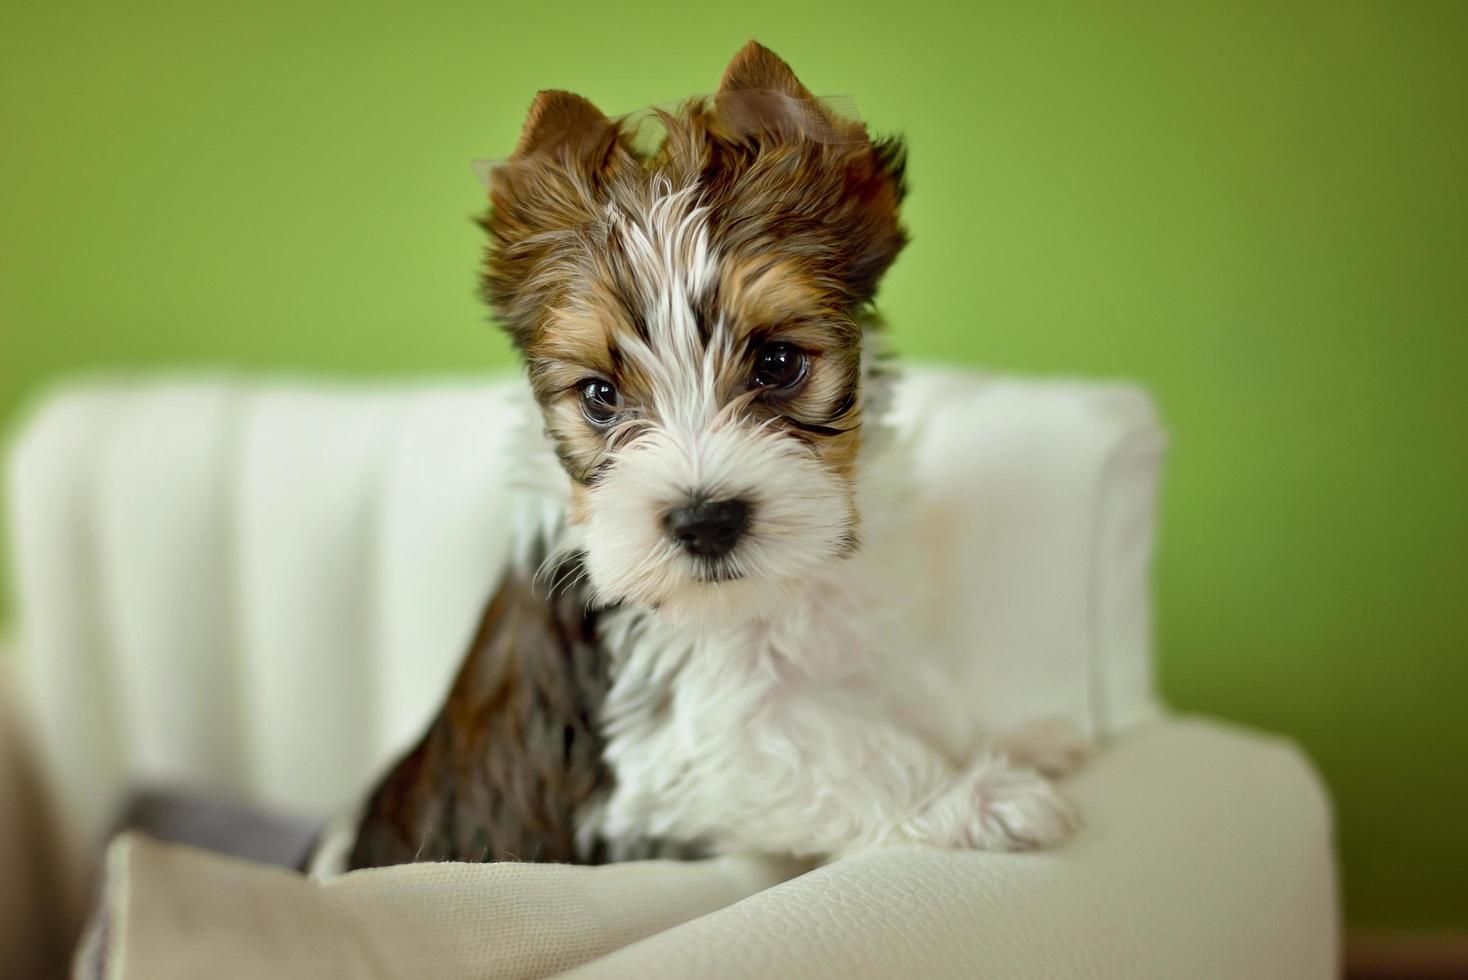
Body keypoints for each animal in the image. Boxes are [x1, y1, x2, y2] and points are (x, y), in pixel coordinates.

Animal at [321, 42, 1080, 874]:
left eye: (778, 363)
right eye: (600, 396)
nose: (705, 520)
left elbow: (895, 692)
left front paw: (1006, 740)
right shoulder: (686, 741)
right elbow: (840, 750)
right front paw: (972, 797)